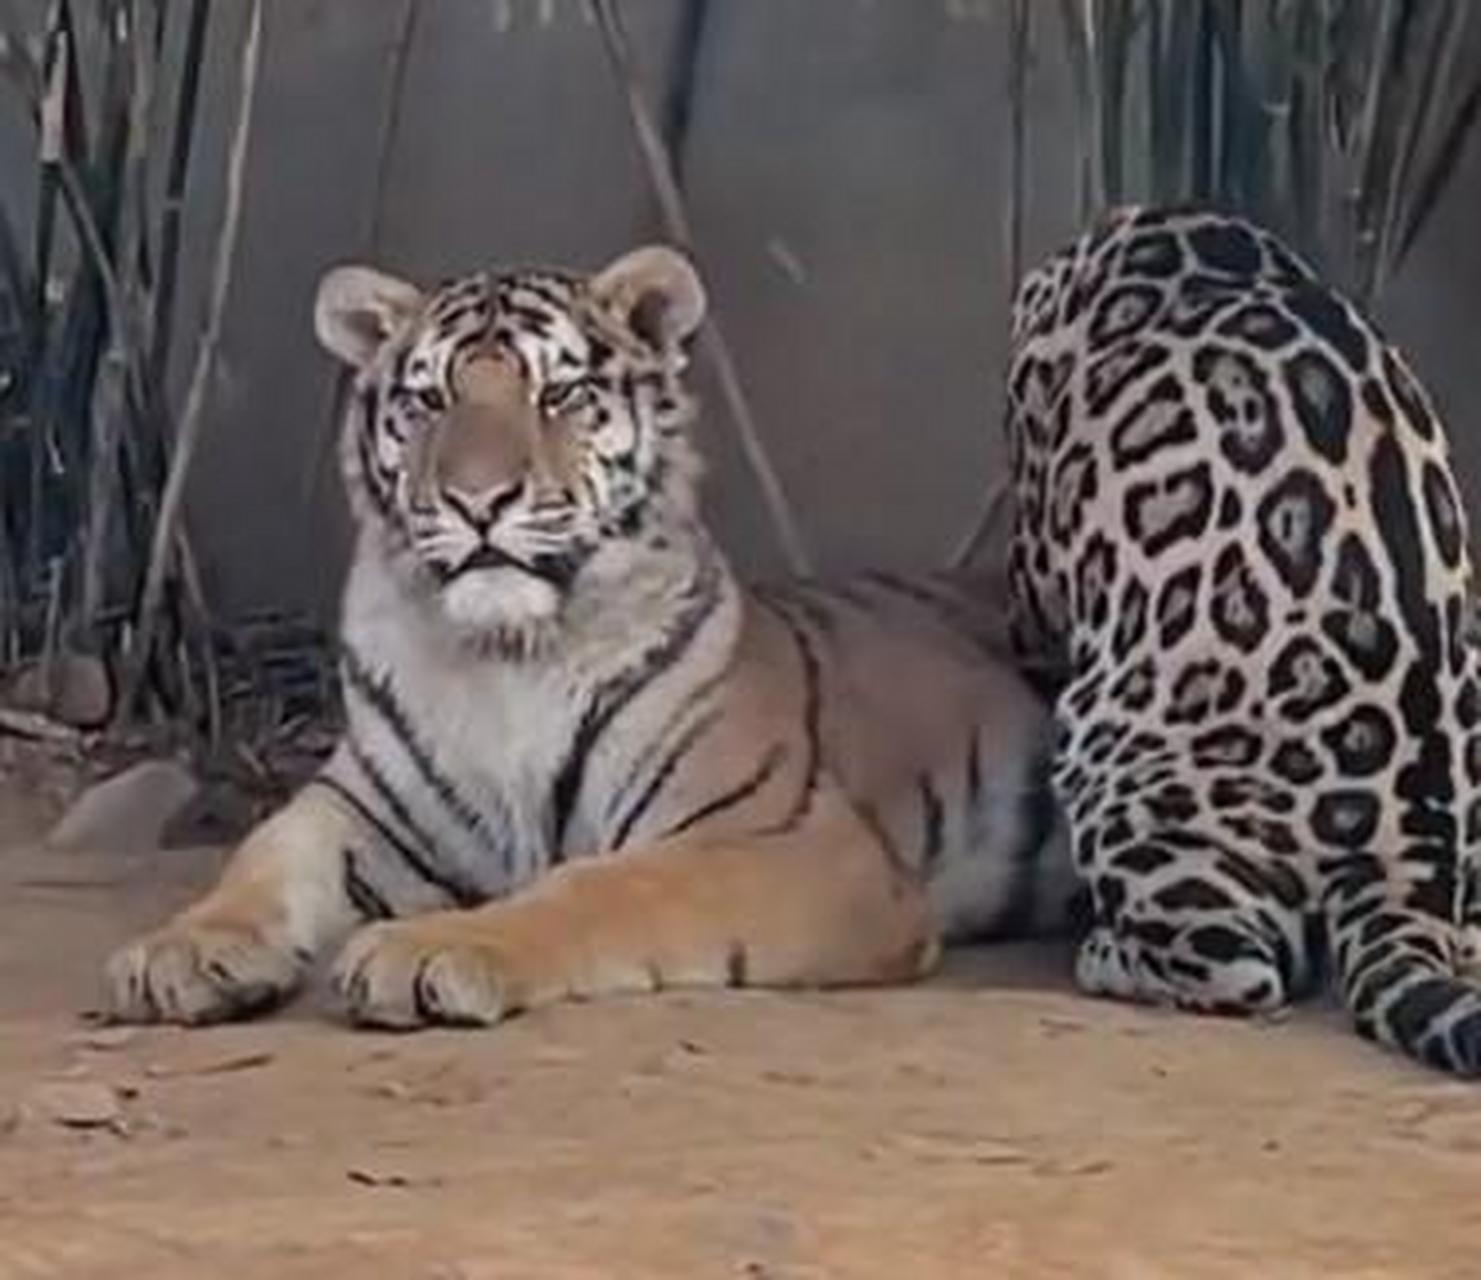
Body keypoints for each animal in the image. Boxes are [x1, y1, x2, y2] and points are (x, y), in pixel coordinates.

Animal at [107, 242, 1078, 1031]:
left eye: (559, 394)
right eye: (428, 400)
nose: (477, 499)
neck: (503, 657)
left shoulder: (790, 838)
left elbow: (602, 884)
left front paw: (431, 947)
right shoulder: (358, 805)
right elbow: (263, 853)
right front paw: (180, 949)